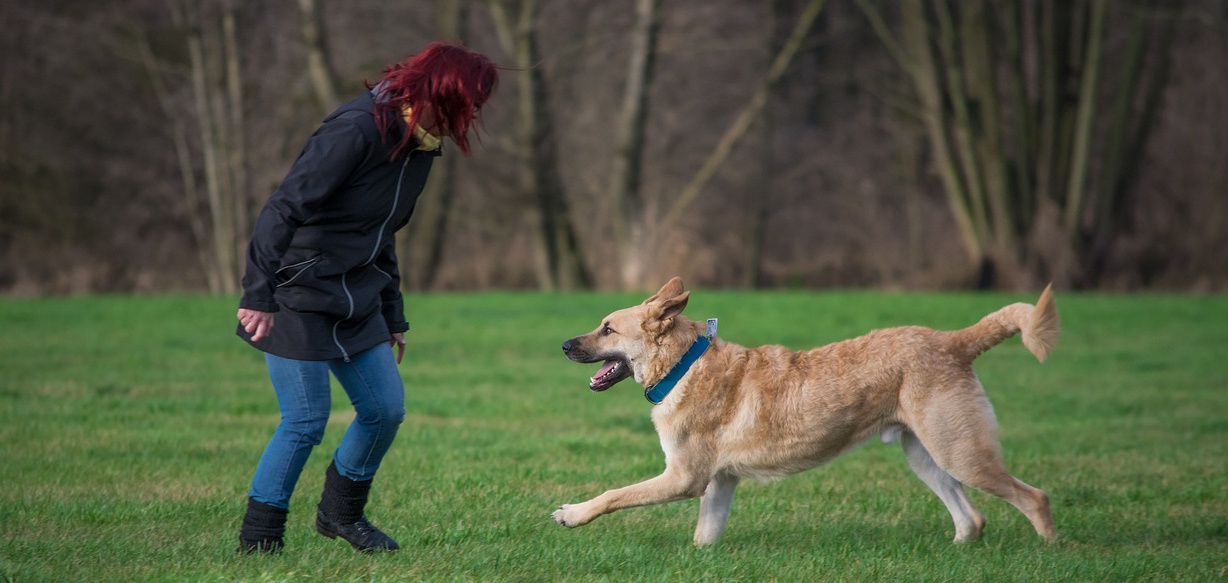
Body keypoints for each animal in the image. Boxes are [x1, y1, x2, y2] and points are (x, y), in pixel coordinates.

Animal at [552, 278, 1060, 547]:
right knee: (972, 518)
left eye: (607, 328)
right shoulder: (719, 482)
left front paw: (572, 514)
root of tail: (954, 341)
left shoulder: (684, 477)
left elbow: (614, 494)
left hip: (960, 452)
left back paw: (1050, 552)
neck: (683, 365)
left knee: (1034, 497)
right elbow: (705, 534)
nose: (564, 345)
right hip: (926, 455)